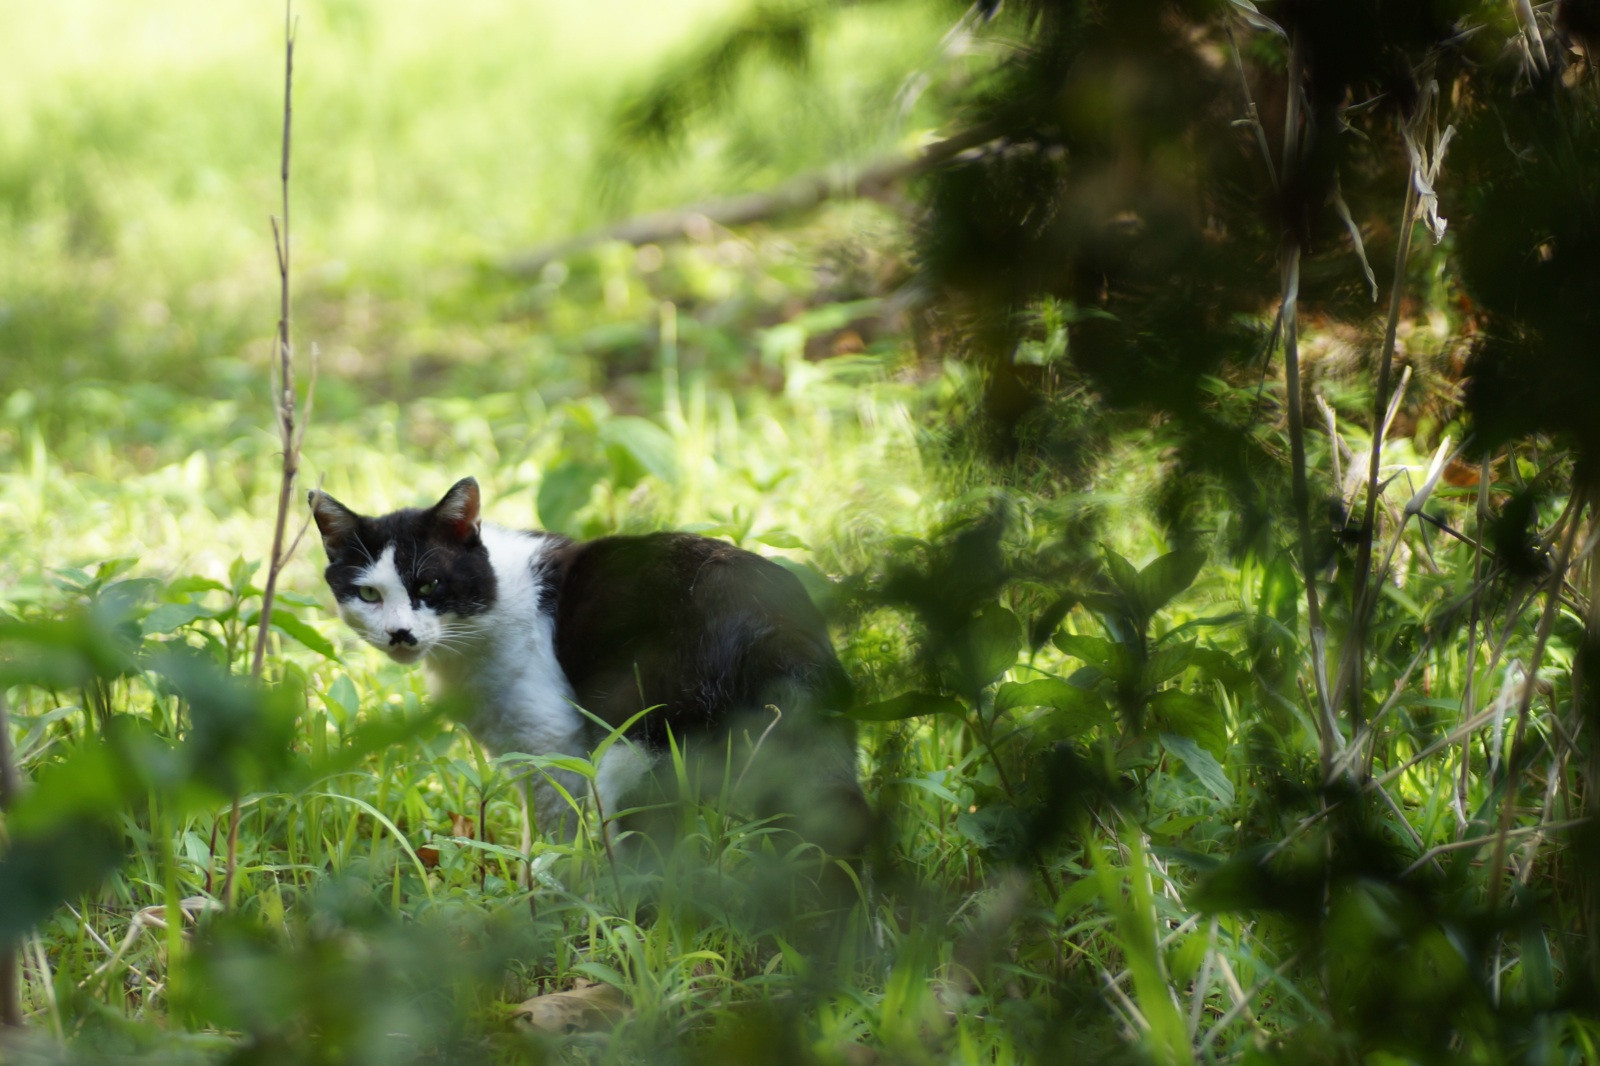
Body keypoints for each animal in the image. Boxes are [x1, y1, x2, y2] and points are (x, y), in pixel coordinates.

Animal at [308, 477, 869, 859]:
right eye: (368, 594)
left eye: (428, 585)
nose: (399, 633)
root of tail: (772, 620)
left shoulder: (551, 741)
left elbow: (552, 833)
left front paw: (539, 901)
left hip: (635, 749)